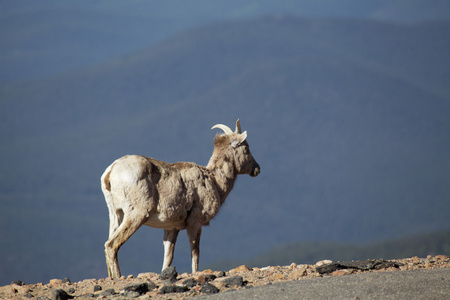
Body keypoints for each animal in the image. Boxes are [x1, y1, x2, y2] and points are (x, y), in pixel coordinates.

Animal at [100, 118, 258, 278]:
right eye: (246, 148)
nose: (257, 169)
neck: (215, 182)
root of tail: (110, 172)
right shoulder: (195, 223)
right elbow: (195, 254)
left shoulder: (172, 228)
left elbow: (168, 258)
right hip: (136, 214)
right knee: (112, 245)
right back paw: (118, 277)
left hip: (115, 213)